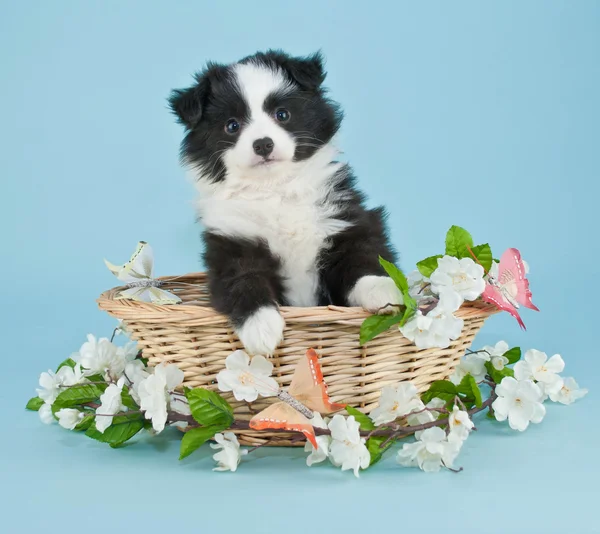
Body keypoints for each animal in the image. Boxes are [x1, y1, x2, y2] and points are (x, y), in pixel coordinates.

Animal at [169, 50, 404, 358]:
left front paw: (382, 290)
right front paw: (261, 327)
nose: (263, 144)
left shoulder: (343, 218)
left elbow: (362, 256)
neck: (275, 189)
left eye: (282, 114)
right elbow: (242, 279)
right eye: (232, 126)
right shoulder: (231, 242)